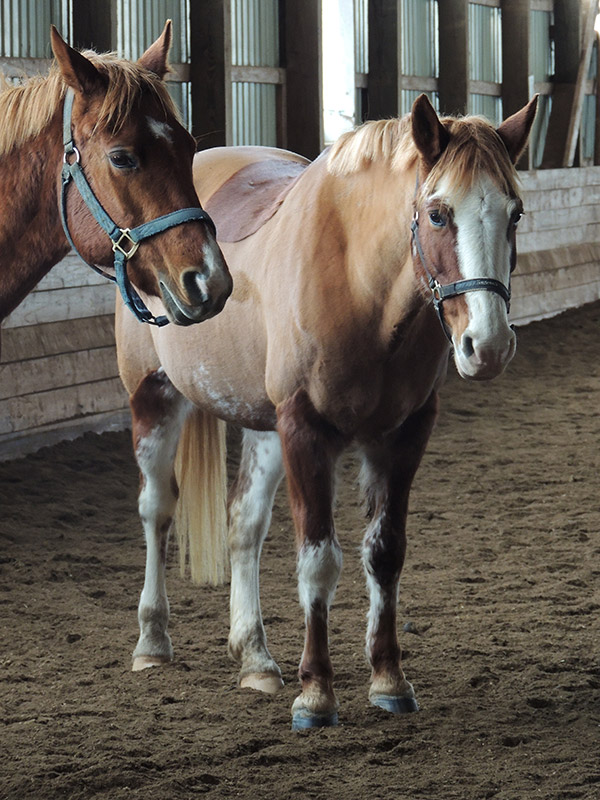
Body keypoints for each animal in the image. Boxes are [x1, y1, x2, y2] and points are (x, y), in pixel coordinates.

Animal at [116, 93, 538, 729]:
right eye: (438, 214)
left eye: (513, 213)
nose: (487, 346)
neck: (361, 285)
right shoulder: (306, 433)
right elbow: (318, 561)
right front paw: (316, 693)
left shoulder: (401, 437)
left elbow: (384, 554)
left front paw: (389, 679)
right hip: (155, 398)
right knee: (155, 510)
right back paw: (151, 642)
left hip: (263, 426)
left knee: (244, 523)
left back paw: (256, 658)